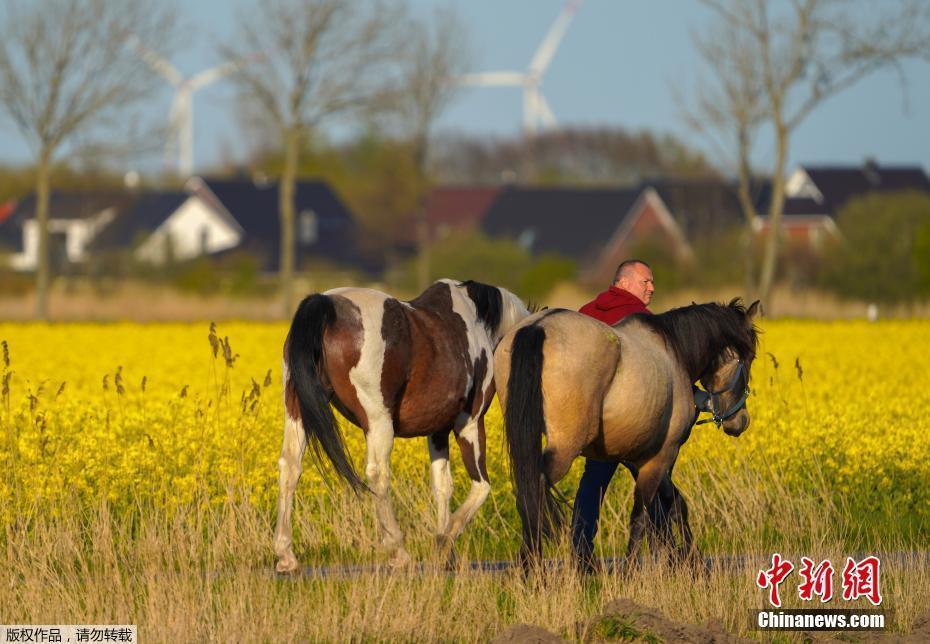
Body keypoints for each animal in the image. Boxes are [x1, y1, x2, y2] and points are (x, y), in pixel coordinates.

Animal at [274, 280, 528, 572]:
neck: (480, 323)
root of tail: (325, 304)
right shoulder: (470, 424)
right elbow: (481, 486)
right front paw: (444, 541)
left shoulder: (437, 431)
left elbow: (443, 486)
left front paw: (445, 553)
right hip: (378, 421)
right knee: (378, 473)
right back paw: (398, 551)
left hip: (297, 410)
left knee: (290, 467)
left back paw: (285, 554)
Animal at [492, 300, 752, 568]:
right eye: (749, 359)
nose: (740, 421)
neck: (674, 350)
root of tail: (536, 326)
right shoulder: (660, 456)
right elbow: (642, 513)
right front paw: (634, 568)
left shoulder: (639, 460)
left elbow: (671, 504)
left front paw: (685, 557)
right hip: (564, 449)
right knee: (535, 489)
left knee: (526, 494)